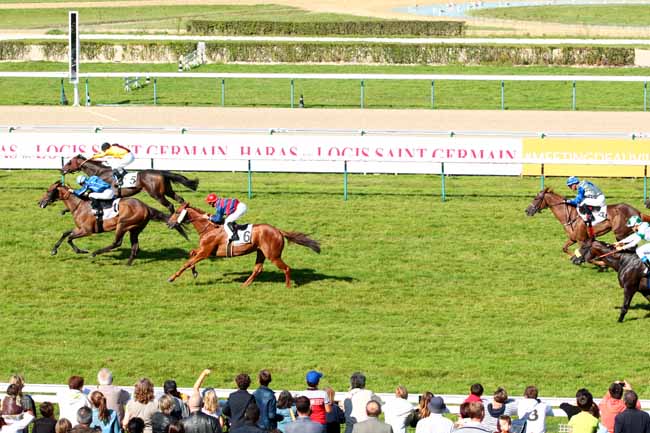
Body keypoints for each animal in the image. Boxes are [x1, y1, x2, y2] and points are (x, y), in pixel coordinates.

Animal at [38, 181, 187, 265]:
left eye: (48, 191)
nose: (40, 202)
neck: (79, 205)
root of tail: (146, 207)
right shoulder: (79, 228)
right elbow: (65, 233)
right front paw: (54, 250)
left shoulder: (86, 230)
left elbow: (69, 238)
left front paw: (81, 251)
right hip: (135, 229)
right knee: (135, 246)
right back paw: (128, 263)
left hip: (123, 224)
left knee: (117, 242)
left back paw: (95, 253)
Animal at [61, 155, 199, 213]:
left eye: (69, 162)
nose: (62, 170)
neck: (100, 172)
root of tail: (160, 172)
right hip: (167, 190)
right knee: (180, 199)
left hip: (156, 194)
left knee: (170, 205)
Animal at [166, 202, 321, 287]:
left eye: (177, 212)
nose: (168, 223)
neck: (209, 228)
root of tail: (278, 231)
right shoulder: (204, 250)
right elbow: (191, 254)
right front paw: (194, 272)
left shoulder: (206, 252)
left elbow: (187, 262)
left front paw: (172, 278)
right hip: (261, 252)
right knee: (258, 269)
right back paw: (245, 285)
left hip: (273, 255)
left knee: (287, 268)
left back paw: (288, 287)